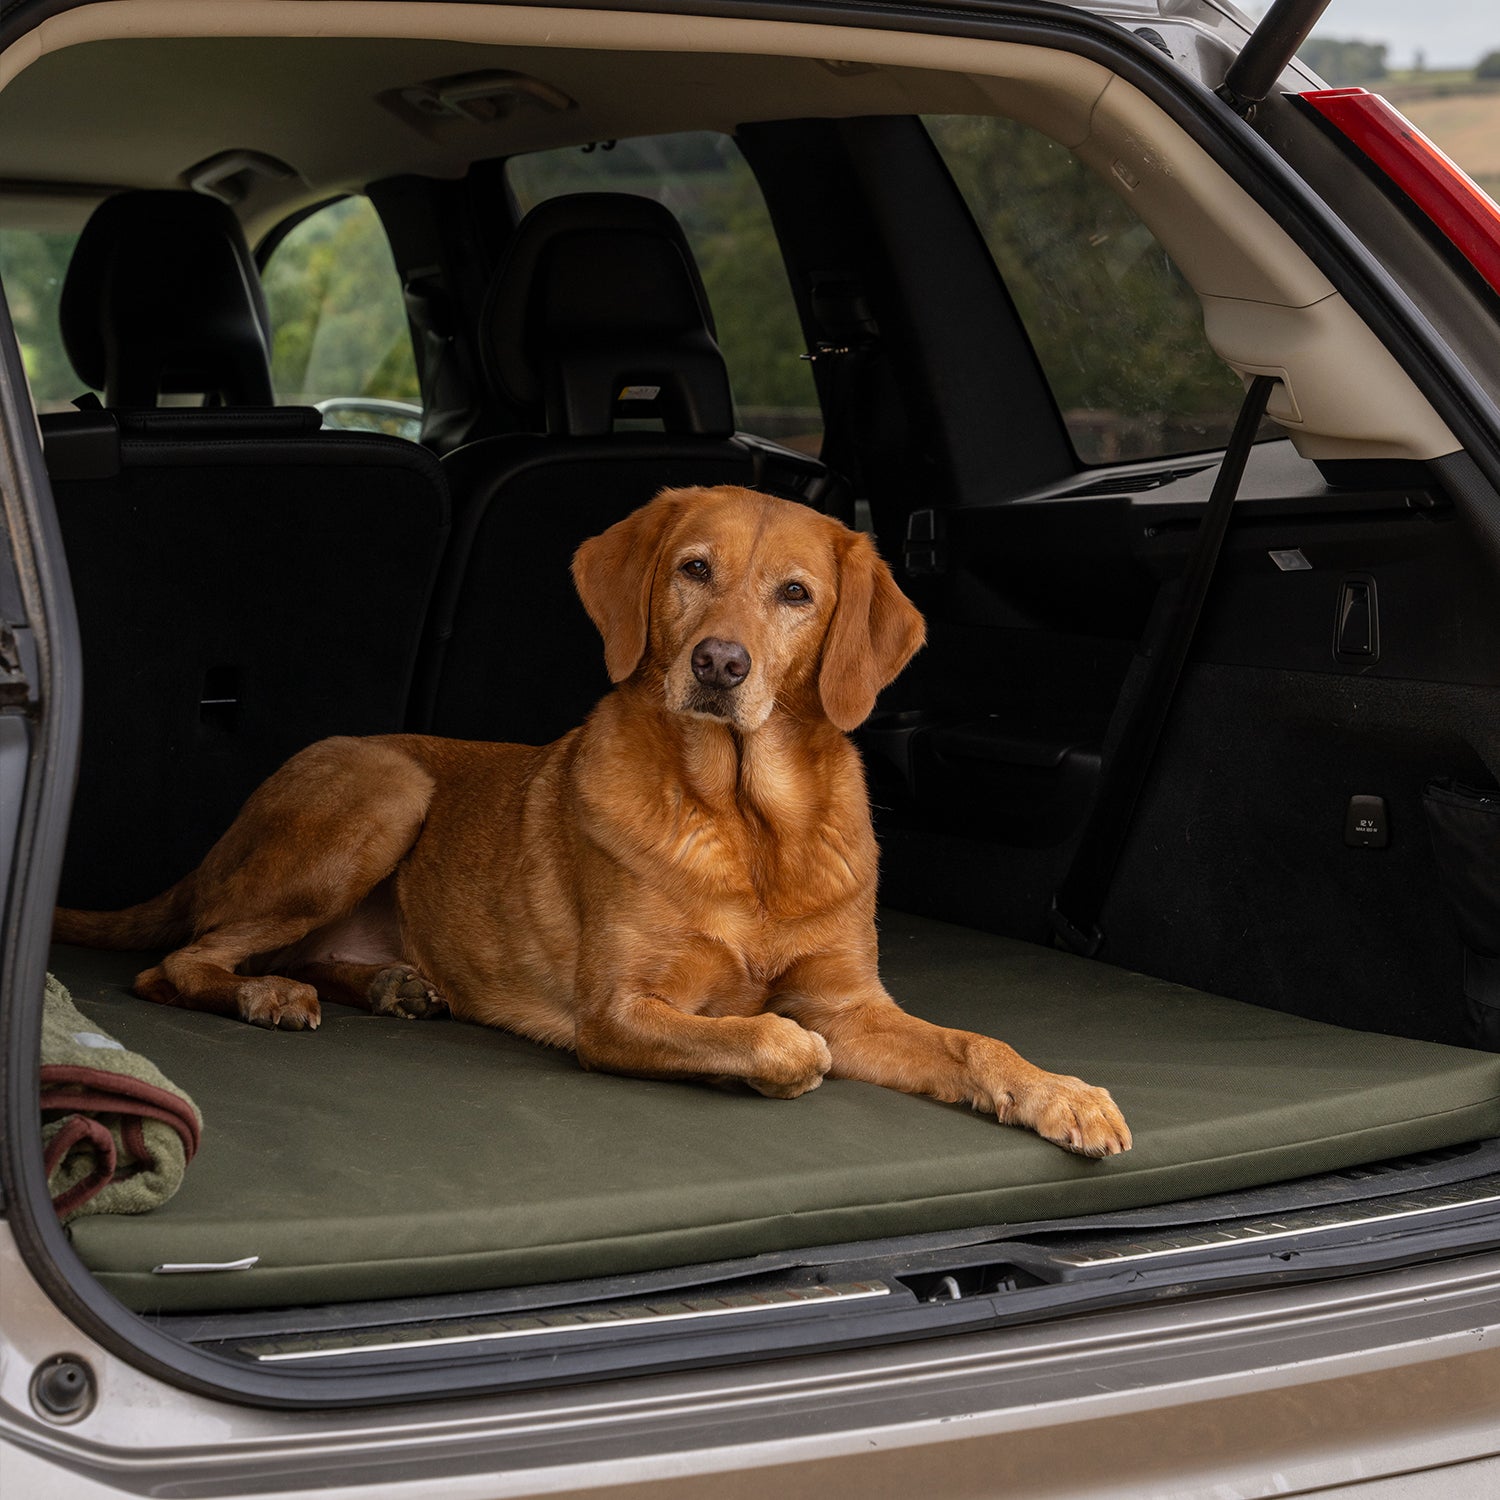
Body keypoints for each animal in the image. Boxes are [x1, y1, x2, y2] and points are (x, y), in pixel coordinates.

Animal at [55, 486, 1128, 1152]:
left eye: (796, 595)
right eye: (693, 570)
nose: (720, 664)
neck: (748, 823)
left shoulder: (855, 1005)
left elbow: (975, 1045)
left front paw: (1061, 1092)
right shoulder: (619, 1013)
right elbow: (773, 1039)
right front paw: (773, 1054)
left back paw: (391, 984)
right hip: (384, 790)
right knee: (178, 963)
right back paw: (265, 996)